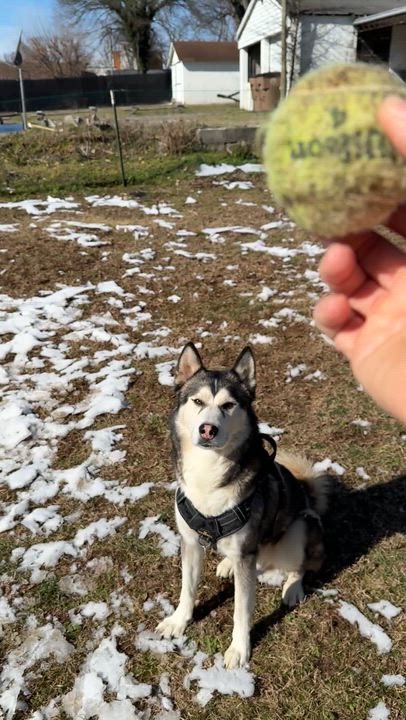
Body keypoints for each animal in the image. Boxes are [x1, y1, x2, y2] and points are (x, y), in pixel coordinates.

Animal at [157, 342, 329, 668]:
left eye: (228, 405)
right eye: (197, 401)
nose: (207, 429)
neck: (208, 473)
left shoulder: (246, 556)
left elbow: (241, 609)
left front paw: (238, 650)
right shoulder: (191, 542)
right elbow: (187, 589)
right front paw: (178, 621)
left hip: (297, 530)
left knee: (298, 565)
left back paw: (292, 588)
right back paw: (226, 564)